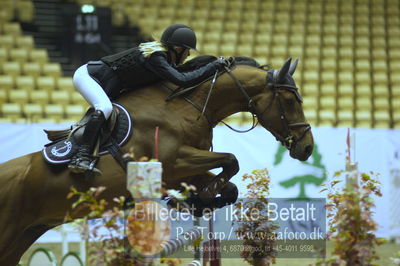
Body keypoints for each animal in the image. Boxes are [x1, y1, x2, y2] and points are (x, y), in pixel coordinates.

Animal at [0, 56, 312, 264]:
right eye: (289, 101)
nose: (307, 148)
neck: (188, 107)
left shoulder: (186, 170)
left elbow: (230, 183)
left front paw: (197, 201)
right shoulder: (175, 162)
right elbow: (231, 160)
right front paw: (195, 199)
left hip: (24, 235)